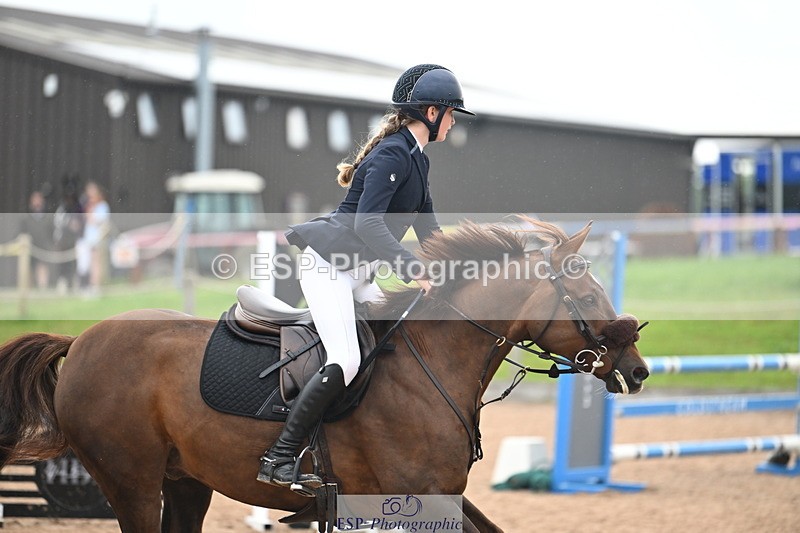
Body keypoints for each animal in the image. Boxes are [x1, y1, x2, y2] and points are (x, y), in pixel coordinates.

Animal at [0, 218, 649, 532]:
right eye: (587, 297)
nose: (638, 370)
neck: (434, 361)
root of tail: (82, 339)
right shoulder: (422, 495)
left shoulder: (438, 496)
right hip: (131, 482)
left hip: (185, 481)